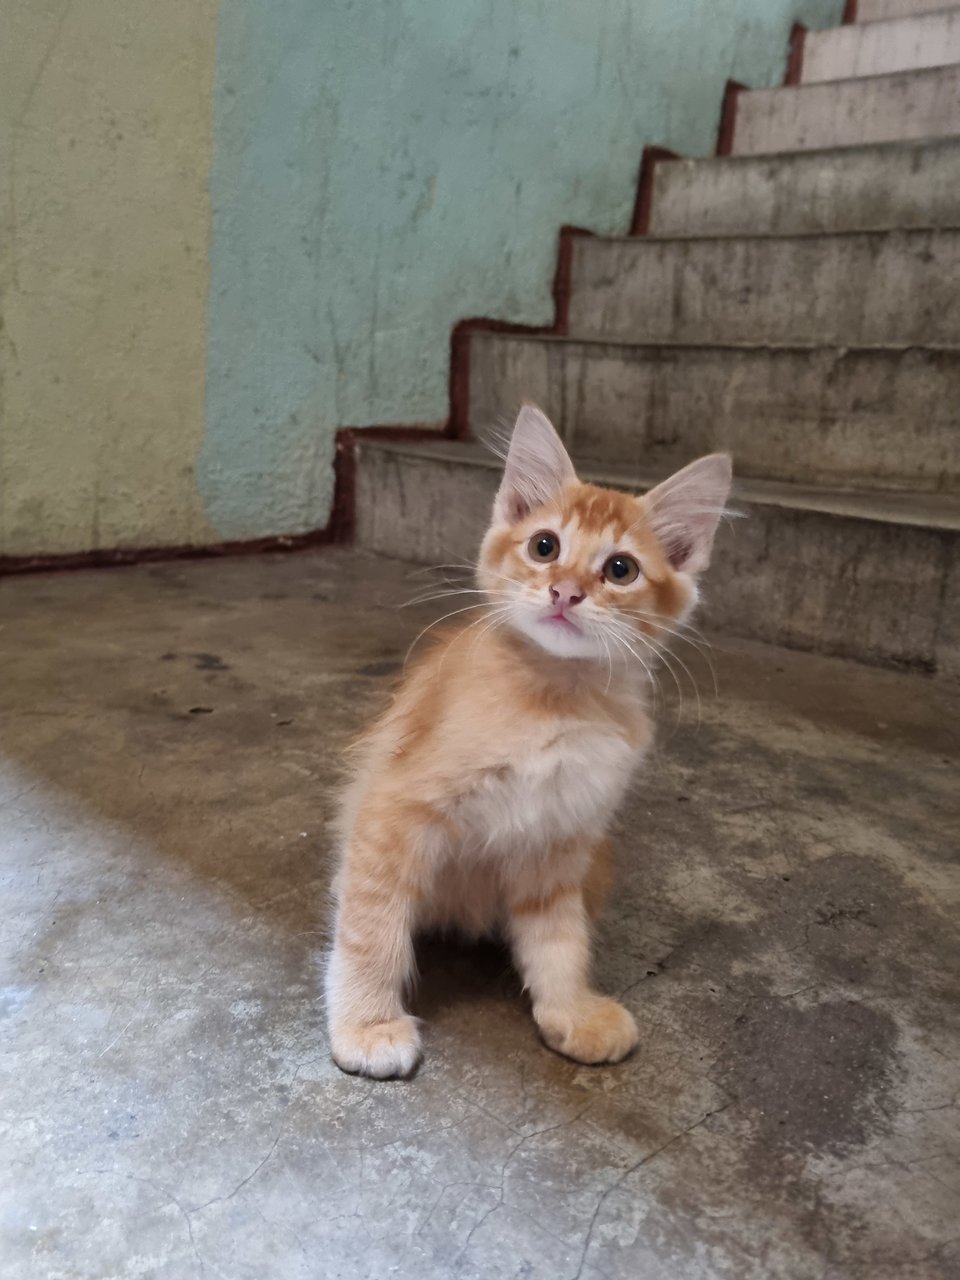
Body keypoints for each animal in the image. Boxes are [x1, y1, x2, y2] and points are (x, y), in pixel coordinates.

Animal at [327, 404, 732, 1075]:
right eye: (546, 547)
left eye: (620, 569)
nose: (565, 591)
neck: (553, 702)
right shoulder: (394, 810)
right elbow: (372, 923)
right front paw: (368, 1023)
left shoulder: (561, 837)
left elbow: (559, 940)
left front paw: (571, 1011)